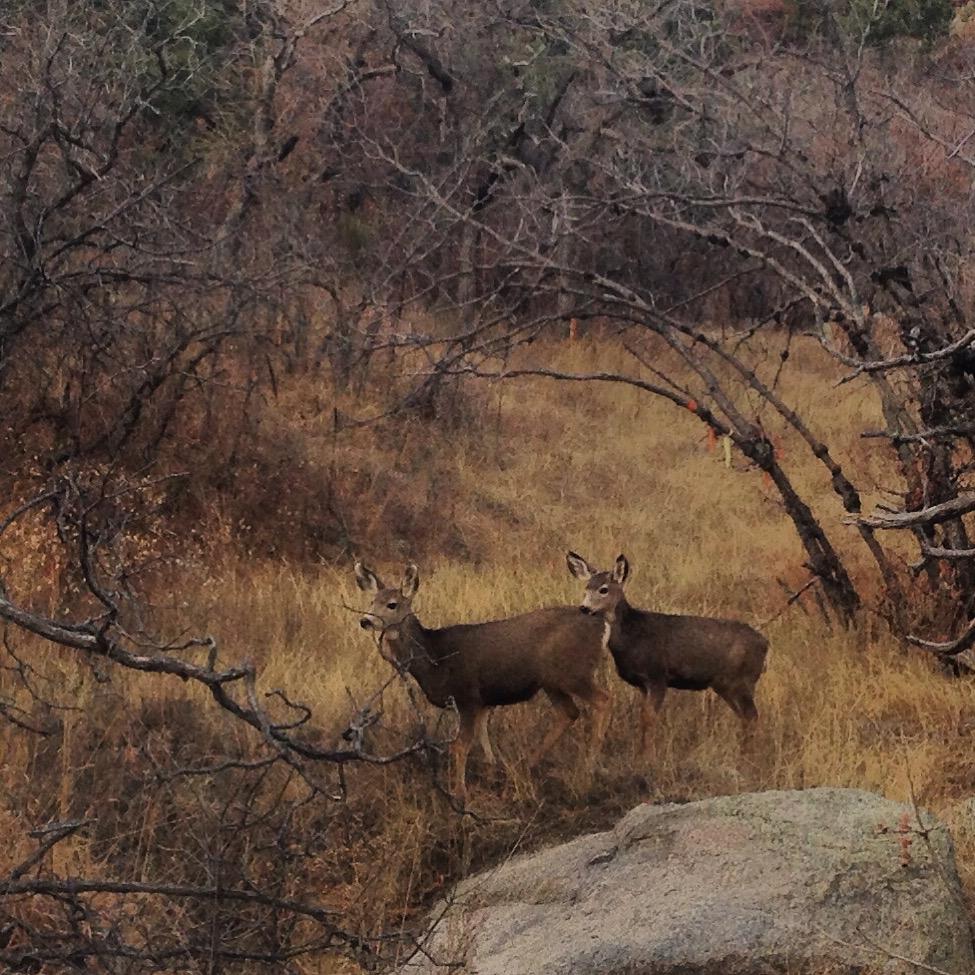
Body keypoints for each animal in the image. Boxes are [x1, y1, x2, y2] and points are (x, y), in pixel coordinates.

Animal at [354, 559, 611, 800]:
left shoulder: (467, 695)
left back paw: (587, 773)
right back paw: (530, 763)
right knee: (569, 712)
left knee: (602, 699)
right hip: (551, 681)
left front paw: (459, 794)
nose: (365, 621)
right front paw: (492, 772)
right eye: (371, 602)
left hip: (573, 672)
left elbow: (459, 746)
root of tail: (602, 626)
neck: (435, 659)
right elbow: (482, 735)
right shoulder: (483, 701)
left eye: (392, 604)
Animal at [566, 551, 768, 758]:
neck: (632, 635)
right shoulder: (642, 684)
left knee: (752, 716)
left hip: (742, 681)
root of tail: (764, 643)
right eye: (586, 588)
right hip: (726, 685)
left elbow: (649, 717)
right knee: (745, 717)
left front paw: (649, 757)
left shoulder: (658, 676)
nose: (584, 608)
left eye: (604, 589)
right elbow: (643, 716)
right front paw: (641, 753)